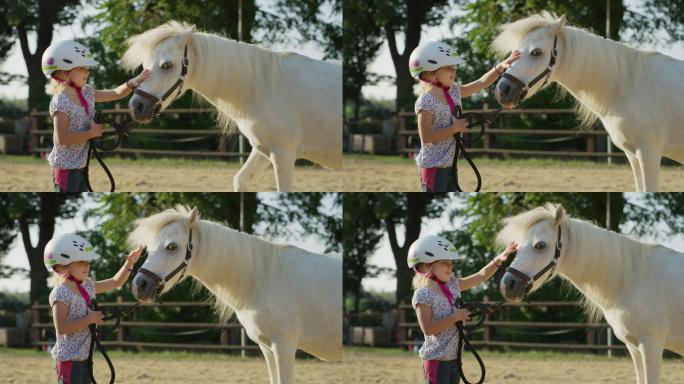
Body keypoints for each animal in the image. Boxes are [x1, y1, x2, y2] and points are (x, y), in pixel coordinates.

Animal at [122, 20, 342, 191]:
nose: (136, 107)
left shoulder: (283, 154)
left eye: (167, 65)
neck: (265, 87)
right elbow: (240, 180)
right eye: (144, 66)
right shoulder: (263, 150)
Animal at [128, 207, 342, 384]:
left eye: (172, 246)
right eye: (148, 247)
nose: (139, 286)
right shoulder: (268, 347)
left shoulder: (284, 346)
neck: (265, 277)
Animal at [492, 11, 684, 191]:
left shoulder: (649, 153)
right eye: (514, 52)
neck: (630, 85)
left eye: (536, 52)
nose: (503, 91)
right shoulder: (633, 154)